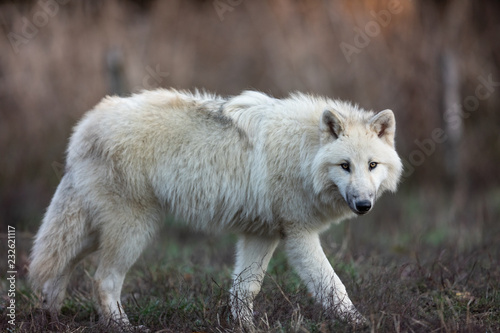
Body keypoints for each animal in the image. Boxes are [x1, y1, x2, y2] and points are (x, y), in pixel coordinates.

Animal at [29, 87, 402, 326]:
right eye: (345, 166)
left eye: (372, 165)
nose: (363, 204)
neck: (303, 153)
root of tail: (86, 125)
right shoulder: (299, 235)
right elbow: (333, 286)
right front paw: (361, 323)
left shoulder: (262, 234)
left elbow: (244, 289)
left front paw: (247, 327)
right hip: (133, 231)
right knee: (103, 280)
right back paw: (122, 325)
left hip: (96, 232)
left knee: (58, 268)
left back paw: (50, 317)